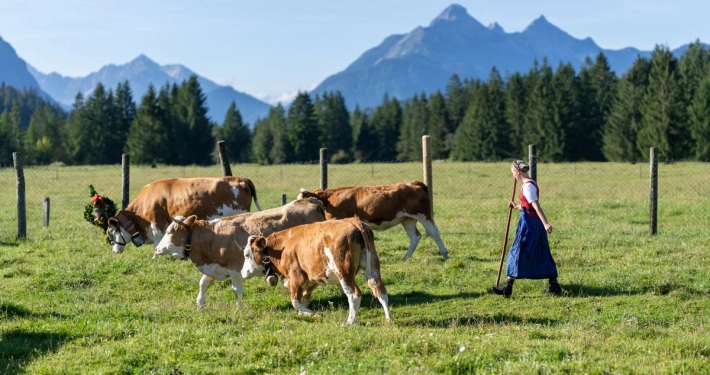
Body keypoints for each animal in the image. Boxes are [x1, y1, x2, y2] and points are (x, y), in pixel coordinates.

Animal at [154, 198, 326, 310]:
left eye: (169, 232)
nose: (156, 249)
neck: (211, 237)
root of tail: (310, 201)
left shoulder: (234, 269)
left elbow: (236, 290)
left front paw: (240, 309)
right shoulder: (215, 266)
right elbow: (203, 282)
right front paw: (201, 303)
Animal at [242, 219, 392, 324]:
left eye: (247, 255)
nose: (243, 273)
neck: (283, 247)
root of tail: (355, 221)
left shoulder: (296, 278)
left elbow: (295, 302)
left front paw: (314, 314)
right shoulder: (312, 278)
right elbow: (304, 299)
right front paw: (304, 314)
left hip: (343, 272)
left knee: (354, 294)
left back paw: (349, 322)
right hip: (373, 268)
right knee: (380, 290)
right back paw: (389, 318)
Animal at [298, 182, 448, 262]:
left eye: (301, 200)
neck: (329, 200)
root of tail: (413, 184)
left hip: (423, 215)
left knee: (434, 232)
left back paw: (445, 254)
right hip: (407, 219)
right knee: (415, 237)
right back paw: (405, 257)